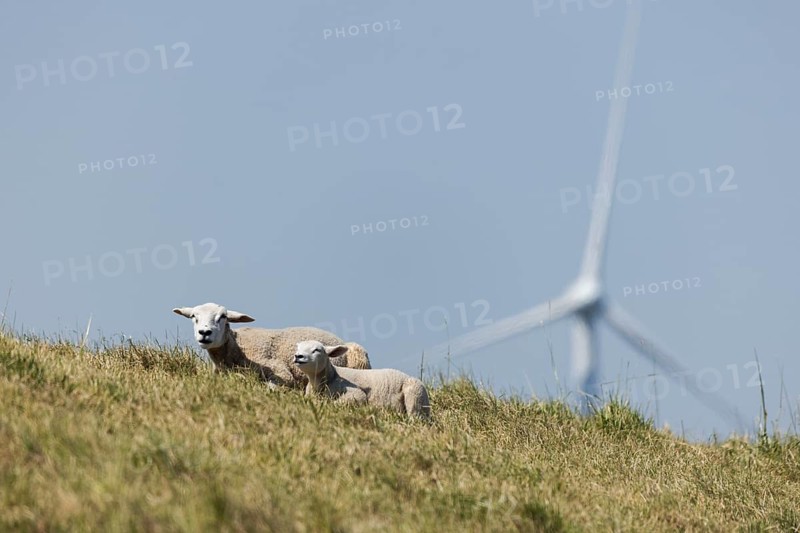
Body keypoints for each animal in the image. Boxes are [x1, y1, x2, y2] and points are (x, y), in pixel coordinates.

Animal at [293, 340, 431, 419]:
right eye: (298, 348)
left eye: (317, 350)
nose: (298, 356)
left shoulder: (356, 394)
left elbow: (337, 403)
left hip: (415, 393)